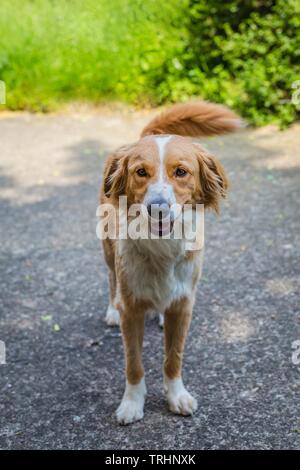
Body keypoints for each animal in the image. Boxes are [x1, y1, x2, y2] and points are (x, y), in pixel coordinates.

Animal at [100, 102, 241, 426]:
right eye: (141, 172)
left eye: (181, 172)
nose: (158, 209)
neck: (161, 247)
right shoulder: (132, 309)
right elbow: (134, 364)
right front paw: (132, 403)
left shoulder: (184, 304)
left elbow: (173, 357)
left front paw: (176, 396)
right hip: (107, 253)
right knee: (111, 278)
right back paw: (111, 309)